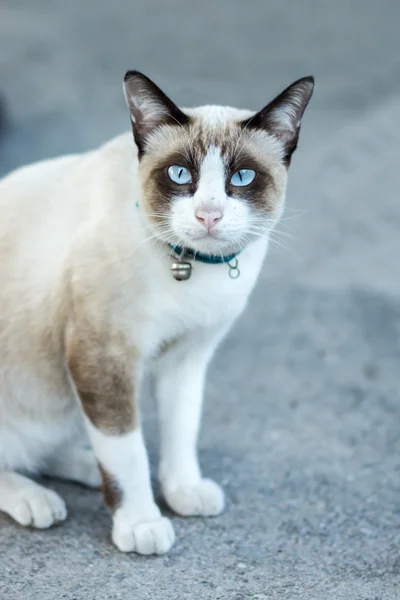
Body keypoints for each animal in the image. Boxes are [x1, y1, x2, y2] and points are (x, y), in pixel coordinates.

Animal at [0, 70, 314, 552]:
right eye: (179, 174)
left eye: (242, 177)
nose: (208, 214)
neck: (193, 267)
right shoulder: (103, 357)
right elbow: (126, 449)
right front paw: (141, 523)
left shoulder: (187, 358)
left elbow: (181, 429)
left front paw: (182, 492)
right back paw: (38, 499)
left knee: (48, 446)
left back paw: (85, 468)